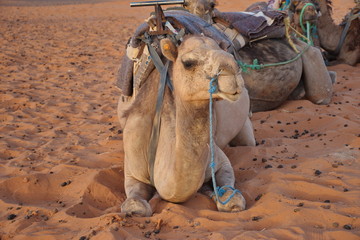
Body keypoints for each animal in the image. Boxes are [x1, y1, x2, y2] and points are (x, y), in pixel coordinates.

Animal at [119, 35, 258, 218]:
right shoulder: (133, 168)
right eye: (188, 63)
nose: (232, 70)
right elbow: (135, 205)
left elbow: (232, 197)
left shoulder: (218, 157)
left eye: (230, 55)